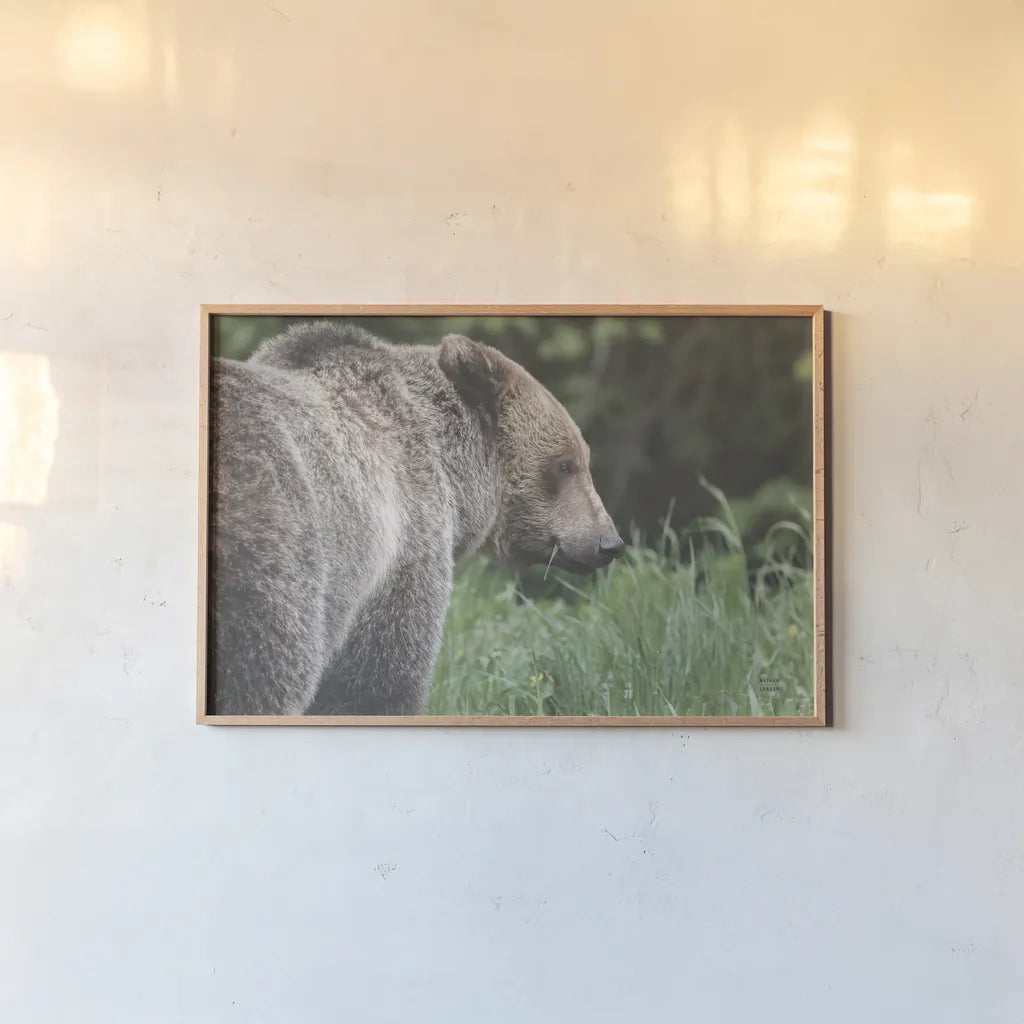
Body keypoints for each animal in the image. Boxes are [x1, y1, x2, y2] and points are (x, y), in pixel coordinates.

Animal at [208, 320, 625, 716]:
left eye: (580, 459)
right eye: (565, 465)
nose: (609, 542)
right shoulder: (402, 550)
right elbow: (378, 677)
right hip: (275, 546)